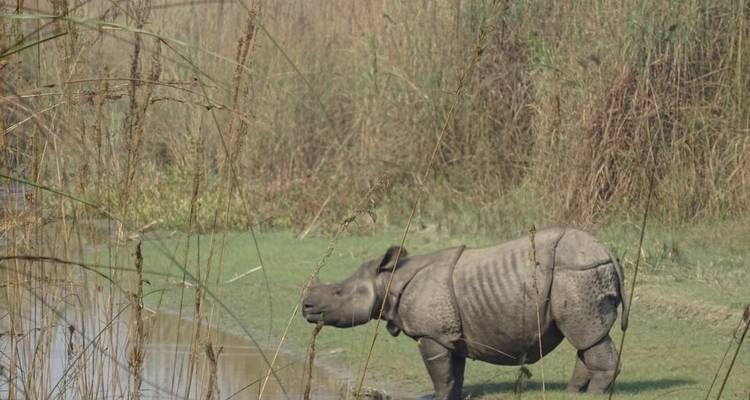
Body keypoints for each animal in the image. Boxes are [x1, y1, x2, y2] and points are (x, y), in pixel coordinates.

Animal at [302, 227, 628, 399]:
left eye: (337, 293)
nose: (306, 306)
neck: (388, 281)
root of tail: (607, 251)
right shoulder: (449, 333)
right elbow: (454, 371)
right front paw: (454, 396)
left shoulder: (431, 334)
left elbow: (440, 373)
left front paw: (439, 397)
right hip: (579, 274)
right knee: (586, 338)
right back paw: (573, 393)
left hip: (576, 273)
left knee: (587, 335)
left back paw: (594, 394)